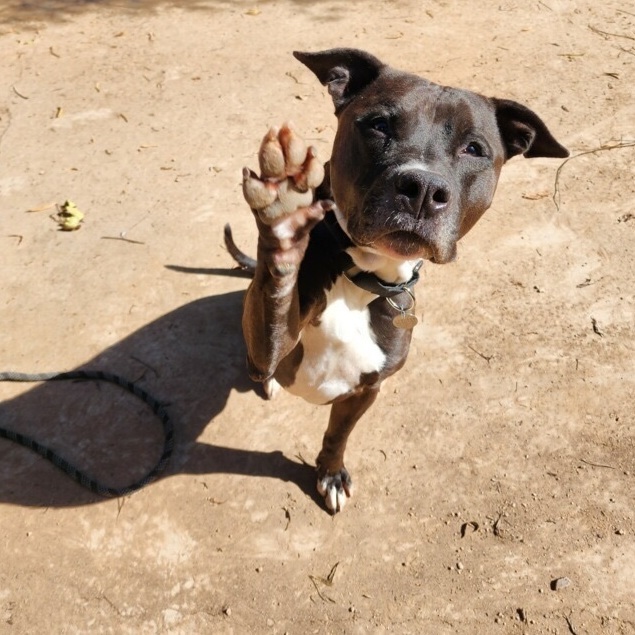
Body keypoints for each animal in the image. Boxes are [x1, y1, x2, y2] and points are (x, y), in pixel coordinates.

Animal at [225, 48, 572, 512]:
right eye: (378, 124)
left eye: (474, 149)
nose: (422, 187)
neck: (362, 274)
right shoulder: (273, 350)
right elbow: (274, 302)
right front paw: (283, 214)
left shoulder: (366, 390)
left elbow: (337, 434)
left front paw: (330, 472)